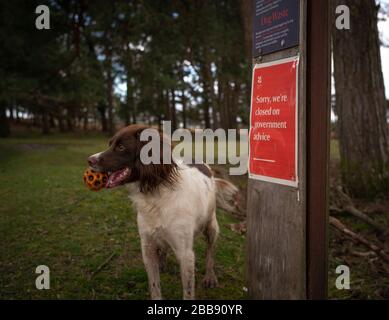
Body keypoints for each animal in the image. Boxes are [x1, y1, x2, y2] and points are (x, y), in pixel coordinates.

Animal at [87, 125, 238, 300]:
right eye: (110, 143)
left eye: (121, 147)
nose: (89, 160)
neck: (156, 195)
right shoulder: (147, 247)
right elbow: (155, 286)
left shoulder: (185, 253)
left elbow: (188, 290)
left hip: (211, 226)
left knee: (210, 252)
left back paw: (210, 276)